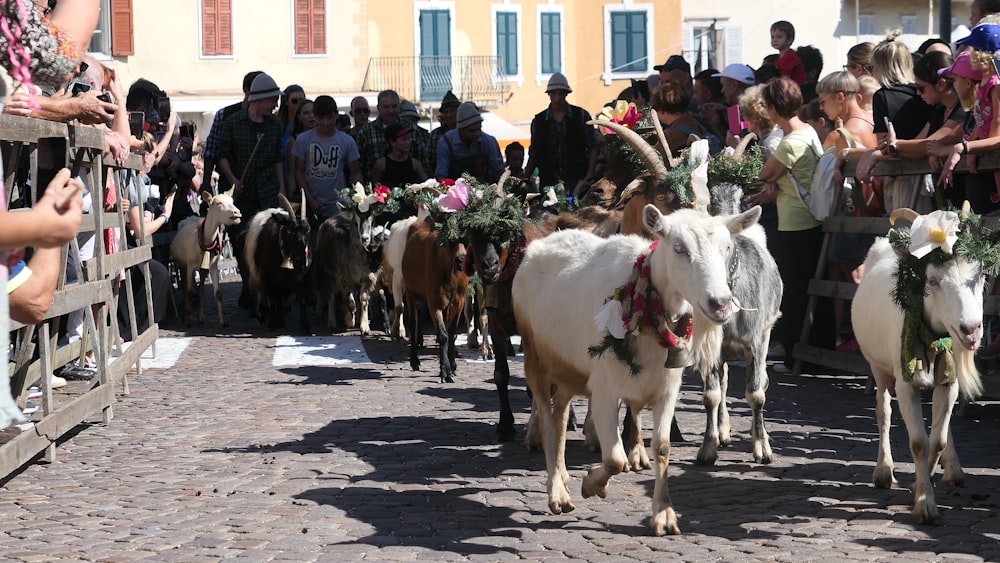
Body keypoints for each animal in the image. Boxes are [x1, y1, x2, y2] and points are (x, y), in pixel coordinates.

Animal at [170, 194, 242, 326]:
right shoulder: (190, 266)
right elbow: (189, 292)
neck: (205, 240)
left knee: (201, 290)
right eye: (219, 203)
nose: (237, 212)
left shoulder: (213, 265)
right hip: (182, 265)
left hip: (203, 268)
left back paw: (201, 317)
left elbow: (218, 293)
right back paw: (185, 316)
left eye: (232, 201)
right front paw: (188, 320)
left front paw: (223, 320)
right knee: (185, 288)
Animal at [243, 194, 312, 334]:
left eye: (308, 230)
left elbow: (301, 299)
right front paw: (273, 323)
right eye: (290, 231)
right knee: (270, 297)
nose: (303, 260)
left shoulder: (301, 277)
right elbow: (273, 298)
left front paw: (305, 326)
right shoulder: (267, 277)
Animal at [402, 218, 468, 386]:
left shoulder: (459, 301)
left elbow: (452, 333)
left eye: (466, 237)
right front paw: (446, 371)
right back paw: (414, 361)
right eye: (450, 240)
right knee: (413, 323)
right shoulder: (434, 301)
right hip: (410, 292)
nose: (461, 260)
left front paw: (452, 365)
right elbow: (443, 334)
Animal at [516, 204, 756, 536]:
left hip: (568, 368)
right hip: (535, 359)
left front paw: (664, 515)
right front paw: (593, 485)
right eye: (679, 248)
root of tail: (539, 246)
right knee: (548, 424)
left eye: (727, 248)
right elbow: (615, 459)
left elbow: (663, 447)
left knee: (560, 416)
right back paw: (557, 494)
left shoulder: (667, 388)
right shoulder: (604, 389)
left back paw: (562, 478)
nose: (720, 303)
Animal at [852, 208, 984, 528]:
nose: (971, 329)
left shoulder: (949, 383)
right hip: (878, 366)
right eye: (932, 280)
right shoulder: (905, 383)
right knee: (883, 412)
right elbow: (919, 443)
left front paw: (924, 484)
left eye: (982, 275)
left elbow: (937, 440)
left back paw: (953, 471)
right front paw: (925, 504)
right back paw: (883, 470)